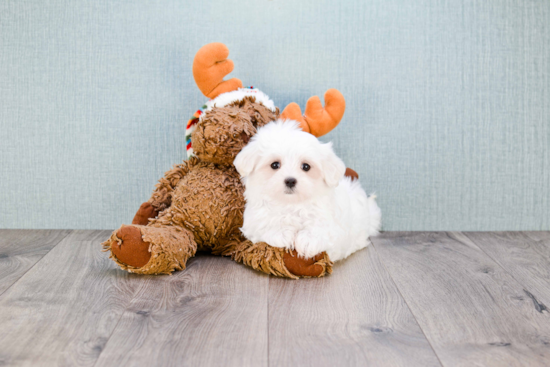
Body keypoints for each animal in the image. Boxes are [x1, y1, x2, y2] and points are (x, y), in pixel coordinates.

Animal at [234, 120, 384, 262]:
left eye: (306, 166)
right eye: (275, 165)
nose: (290, 180)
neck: (290, 204)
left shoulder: (332, 226)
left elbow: (320, 229)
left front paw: (308, 240)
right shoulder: (254, 222)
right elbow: (265, 225)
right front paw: (281, 233)